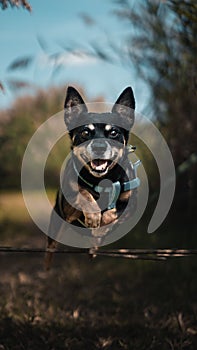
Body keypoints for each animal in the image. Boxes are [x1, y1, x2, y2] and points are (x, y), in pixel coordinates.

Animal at [44, 86, 140, 266]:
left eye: (114, 132)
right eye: (85, 132)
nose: (99, 147)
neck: (101, 180)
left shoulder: (130, 207)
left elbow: (113, 212)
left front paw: (101, 225)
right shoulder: (69, 208)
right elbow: (83, 192)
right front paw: (94, 216)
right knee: (50, 249)